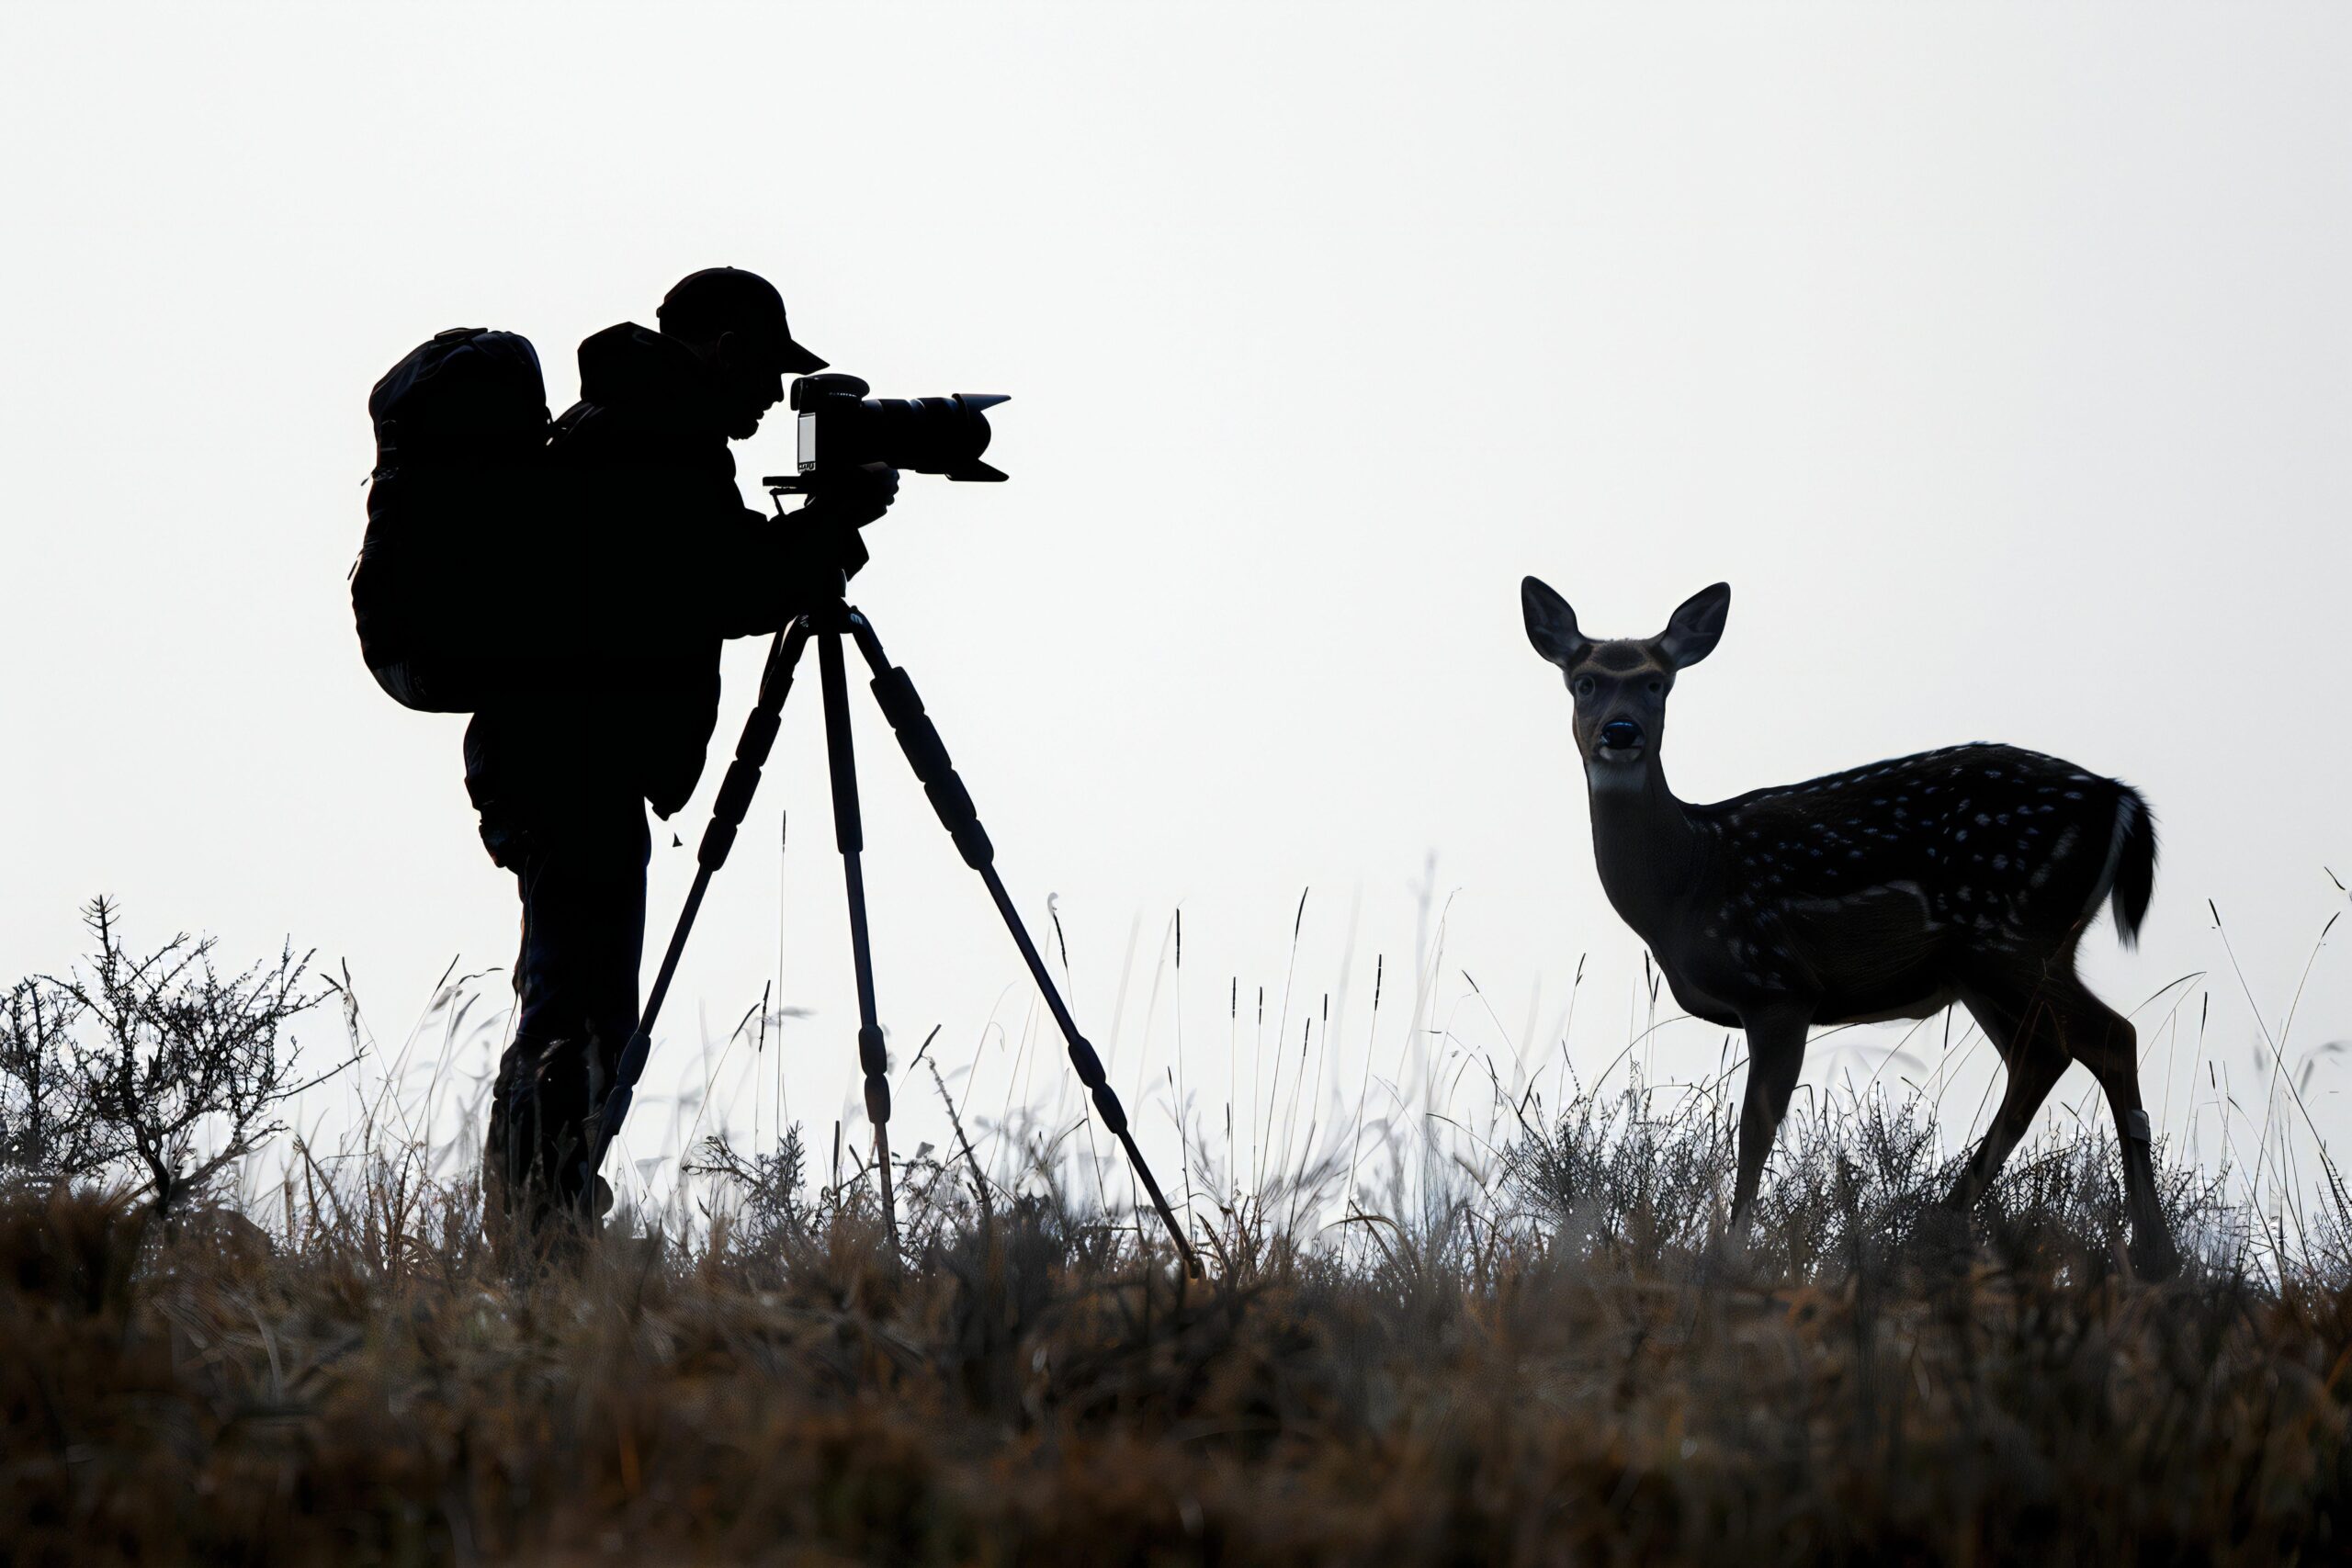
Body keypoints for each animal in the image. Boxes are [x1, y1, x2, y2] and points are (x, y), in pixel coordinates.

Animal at [1514, 582, 2173, 1279]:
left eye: (1656, 682)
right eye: (1584, 681)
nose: (1621, 731)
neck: (1689, 879)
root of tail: (2120, 798)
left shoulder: (1777, 983)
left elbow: (1755, 1128)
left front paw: (1729, 1258)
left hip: (2012, 933)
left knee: (2110, 1036)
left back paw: (2152, 1255)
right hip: (1989, 964)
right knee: (2043, 1056)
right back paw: (1933, 1230)